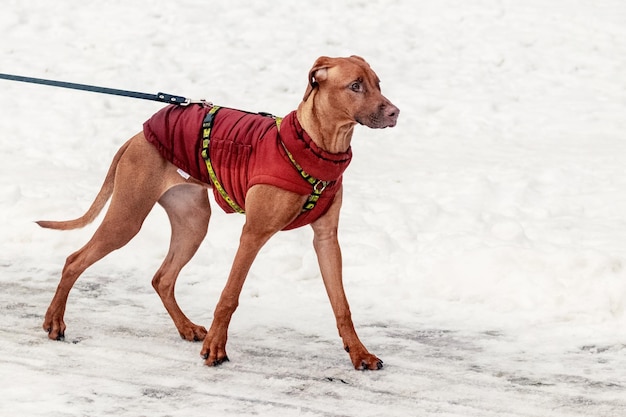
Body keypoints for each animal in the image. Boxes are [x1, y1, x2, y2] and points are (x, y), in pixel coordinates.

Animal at [40, 54, 400, 368]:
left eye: (378, 83)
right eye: (355, 86)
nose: (396, 112)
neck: (315, 146)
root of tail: (137, 137)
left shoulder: (326, 239)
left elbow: (342, 305)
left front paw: (359, 353)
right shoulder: (253, 234)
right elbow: (230, 295)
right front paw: (216, 348)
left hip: (193, 223)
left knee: (162, 279)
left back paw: (186, 327)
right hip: (127, 218)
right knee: (74, 260)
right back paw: (54, 321)